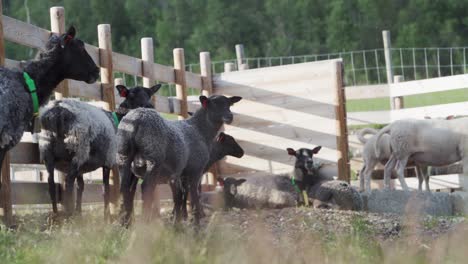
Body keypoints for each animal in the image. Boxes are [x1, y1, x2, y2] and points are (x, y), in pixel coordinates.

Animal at [38, 83, 159, 216]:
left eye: (149, 94)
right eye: (131, 95)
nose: (150, 107)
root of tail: (56, 112)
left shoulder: (84, 167)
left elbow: (81, 186)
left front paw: (79, 213)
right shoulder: (108, 161)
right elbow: (106, 189)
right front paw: (108, 216)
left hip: (47, 152)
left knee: (51, 184)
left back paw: (56, 215)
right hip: (77, 151)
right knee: (69, 183)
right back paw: (69, 215)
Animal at [117, 94, 241, 226]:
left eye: (229, 104)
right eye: (214, 104)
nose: (230, 116)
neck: (200, 130)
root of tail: (136, 118)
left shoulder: (180, 174)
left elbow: (181, 195)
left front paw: (179, 219)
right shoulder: (195, 170)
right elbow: (194, 193)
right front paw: (195, 221)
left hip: (123, 155)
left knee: (125, 187)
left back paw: (125, 224)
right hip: (153, 157)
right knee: (146, 187)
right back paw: (144, 223)